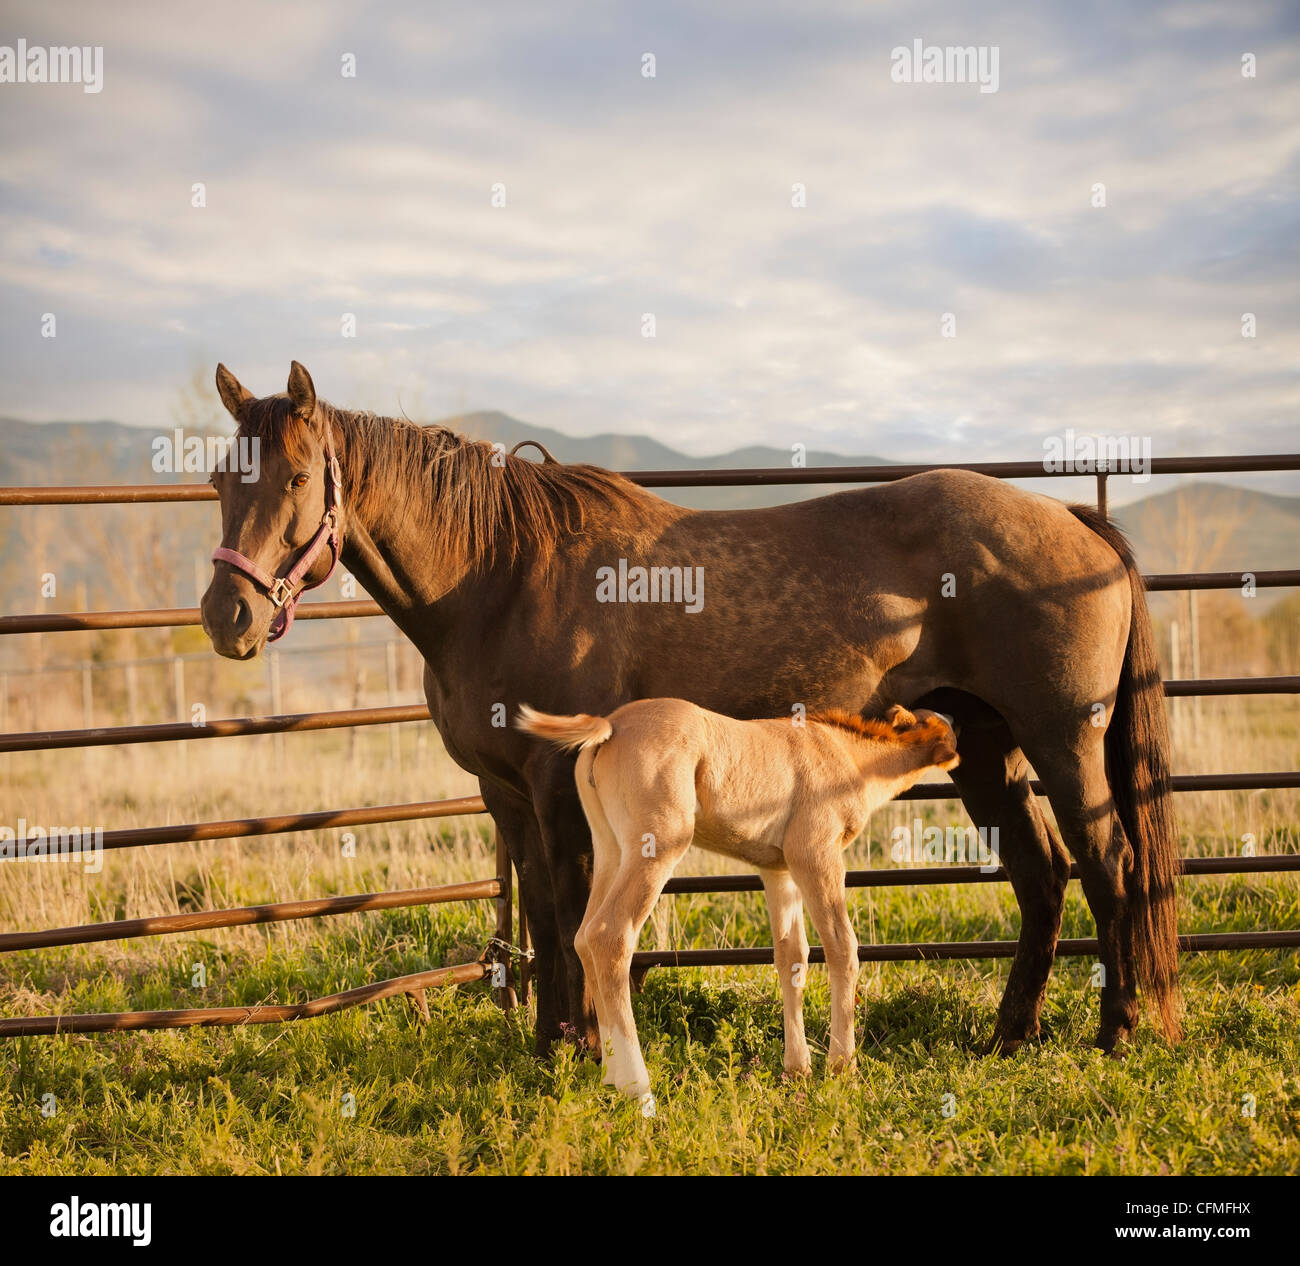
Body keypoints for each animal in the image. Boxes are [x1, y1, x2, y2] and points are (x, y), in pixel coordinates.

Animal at [514, 701, 956, 1112]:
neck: (845, 755)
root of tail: (611, 725)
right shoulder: (815, 854)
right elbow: (842, 947)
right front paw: (841, 1067)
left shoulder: (778, 869)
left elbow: (791, 956)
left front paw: (797, 1069)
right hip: (659, 844)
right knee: (610, 935)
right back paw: (640, 1093)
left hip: (611, 848)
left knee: (584, 937)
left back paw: (609, 1076)